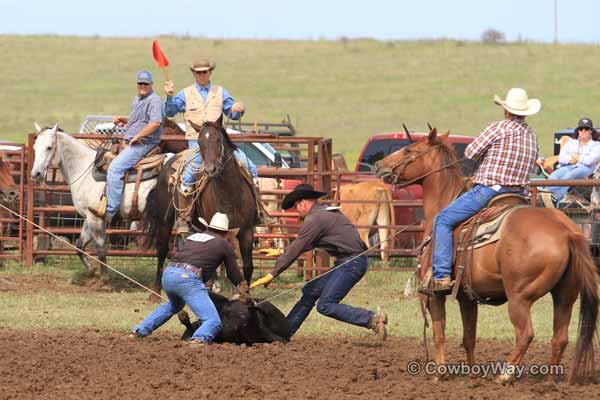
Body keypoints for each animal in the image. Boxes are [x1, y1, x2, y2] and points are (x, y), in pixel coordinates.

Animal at [142, 120, 256, 292]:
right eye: (200, 142)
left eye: (218, 140)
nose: (210, 169)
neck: (231, 194)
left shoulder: (247, 231)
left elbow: (247, 266)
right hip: (164, 219)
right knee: (162, 249)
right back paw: (155, 291)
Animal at [378, 129, 596, 384]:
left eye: (408, 150)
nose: (380, 166)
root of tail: (566, 231)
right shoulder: (467, 297)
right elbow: (469, 337)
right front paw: (472, 374)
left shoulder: (434, 295)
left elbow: (439, 333)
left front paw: (439, 374)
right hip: (565, 295)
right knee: (559, 338)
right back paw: (549, 380)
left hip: (520, 297)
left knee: (525, 334)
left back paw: (505, 375)